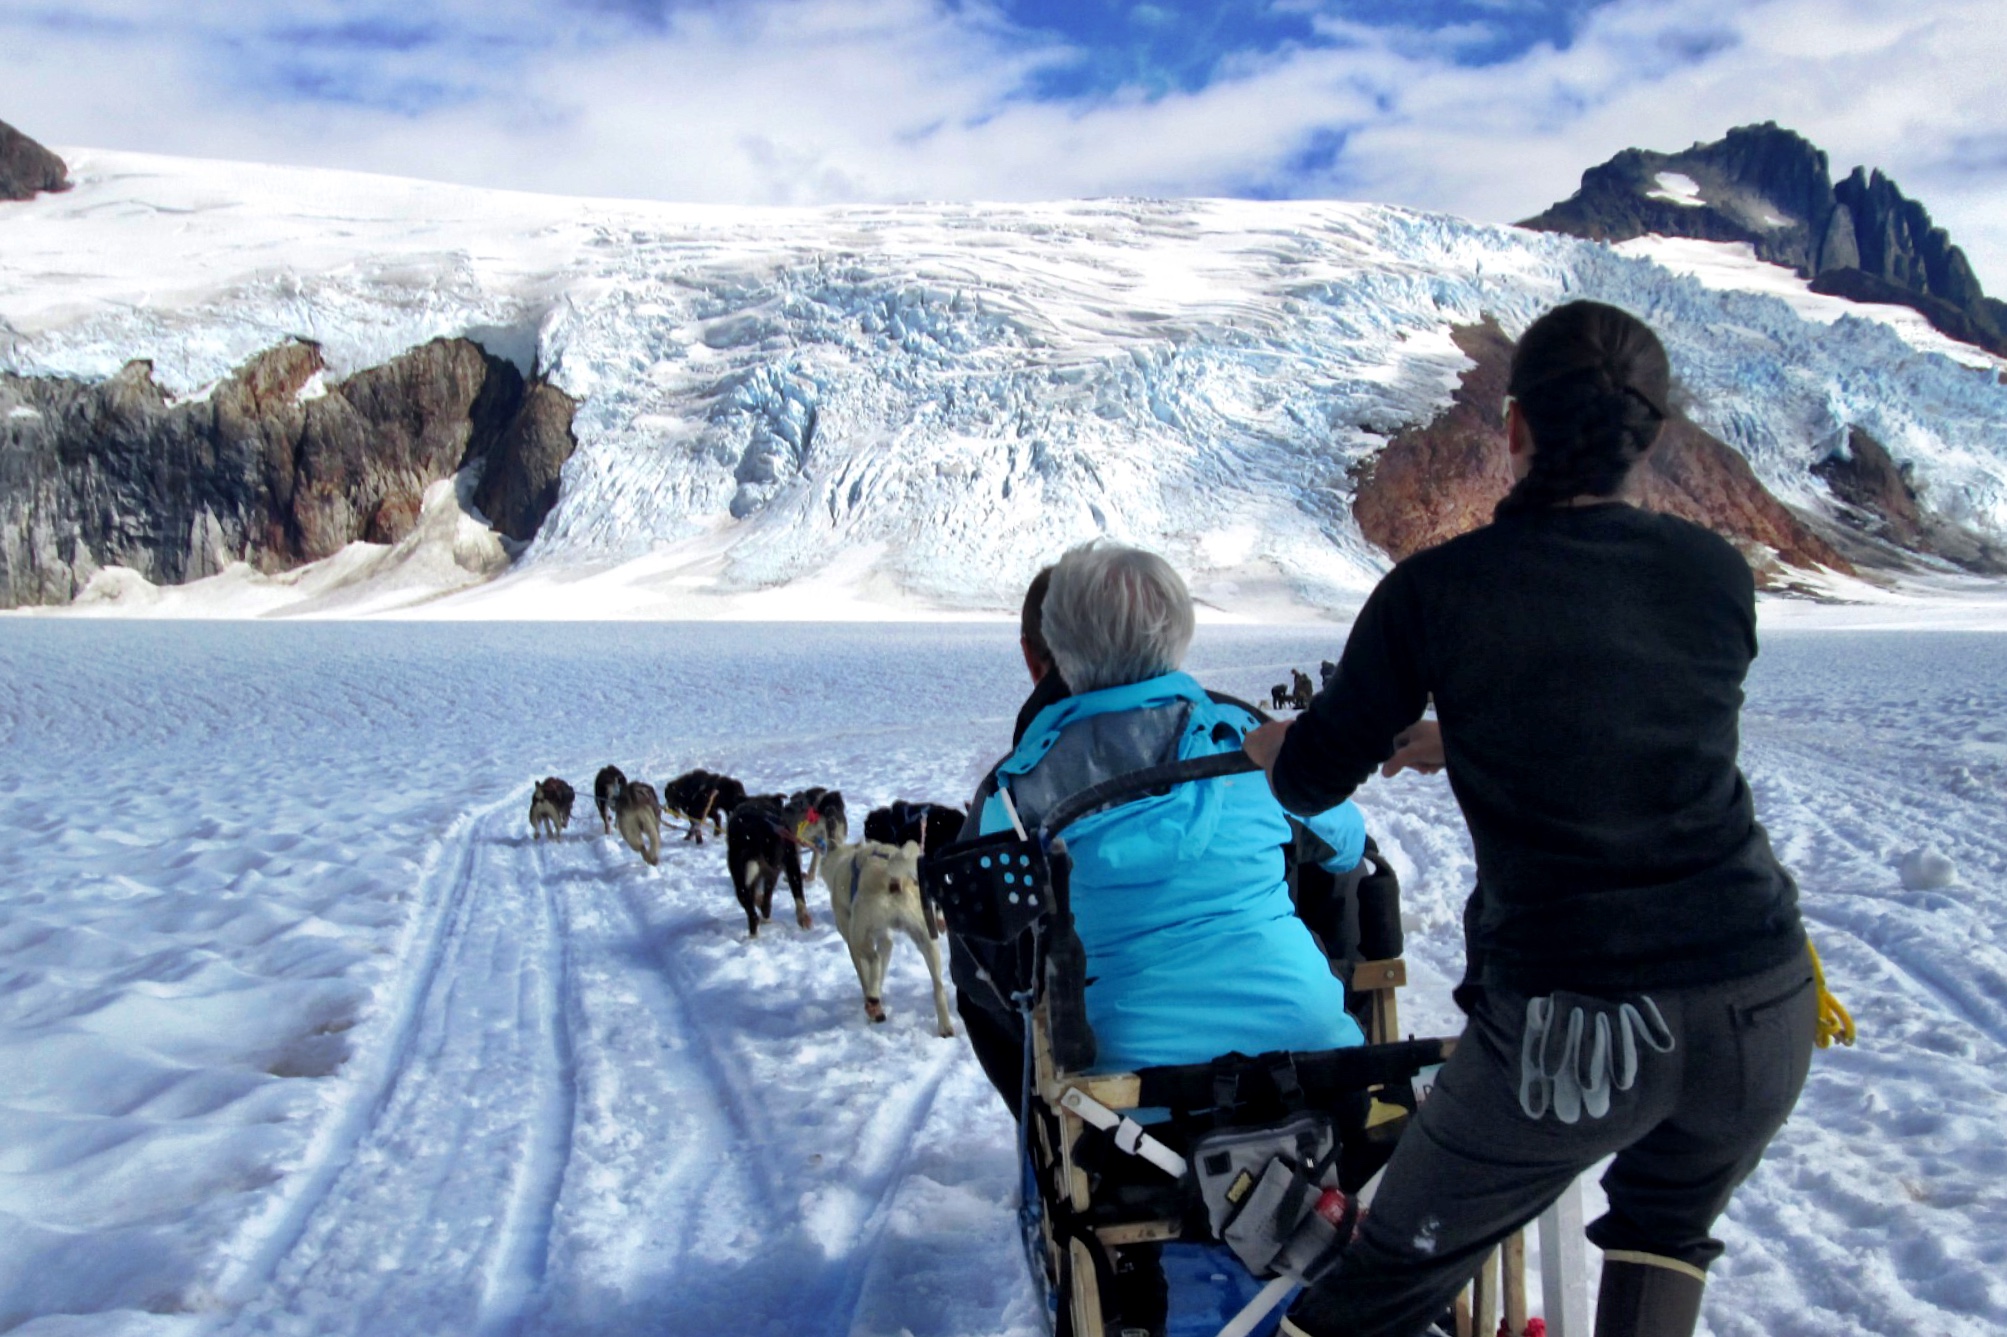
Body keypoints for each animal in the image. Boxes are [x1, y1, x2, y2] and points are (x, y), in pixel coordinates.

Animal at [822, 839, 963, 1035]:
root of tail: (894, 879)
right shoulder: (885, 939)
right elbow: (882, 963)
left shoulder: (854, 942)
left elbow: (867, 973)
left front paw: (872, 998)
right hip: (926, 940)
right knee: (938, 987)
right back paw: (945, 1026)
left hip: (859, 936)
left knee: (874, 959)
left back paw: (873, 1001)